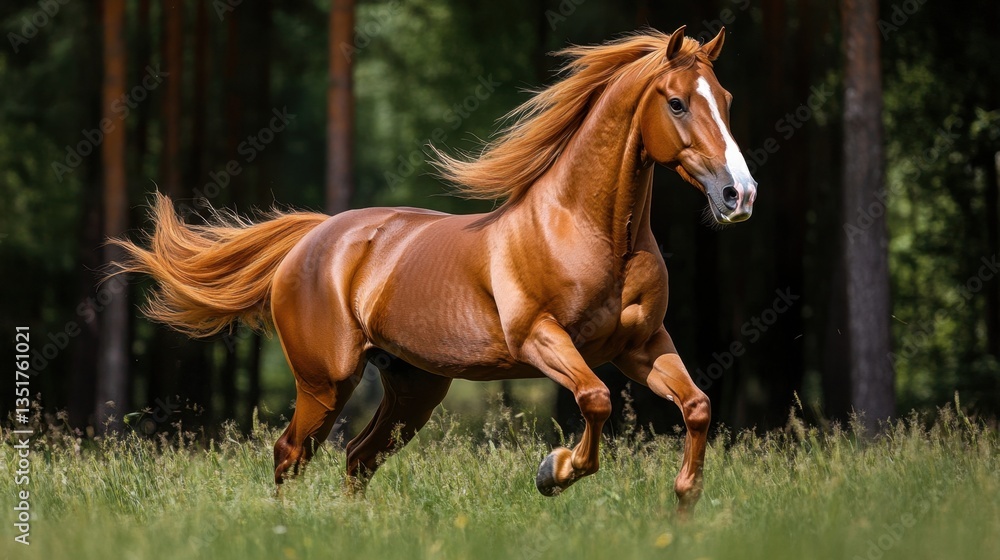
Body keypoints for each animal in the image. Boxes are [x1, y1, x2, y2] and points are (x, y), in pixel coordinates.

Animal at [113, 26, 756, 514]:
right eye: (676, 102)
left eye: (727, 99)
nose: (739, 195)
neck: (586, 229)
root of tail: (313, 237)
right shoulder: (541, 338)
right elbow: (596, 401)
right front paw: (552, 471)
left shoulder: (641, 345)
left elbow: (697, 407)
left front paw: (685, 500)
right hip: (326, 383)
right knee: (290, 454)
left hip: (413, 387)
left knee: (357, 459)